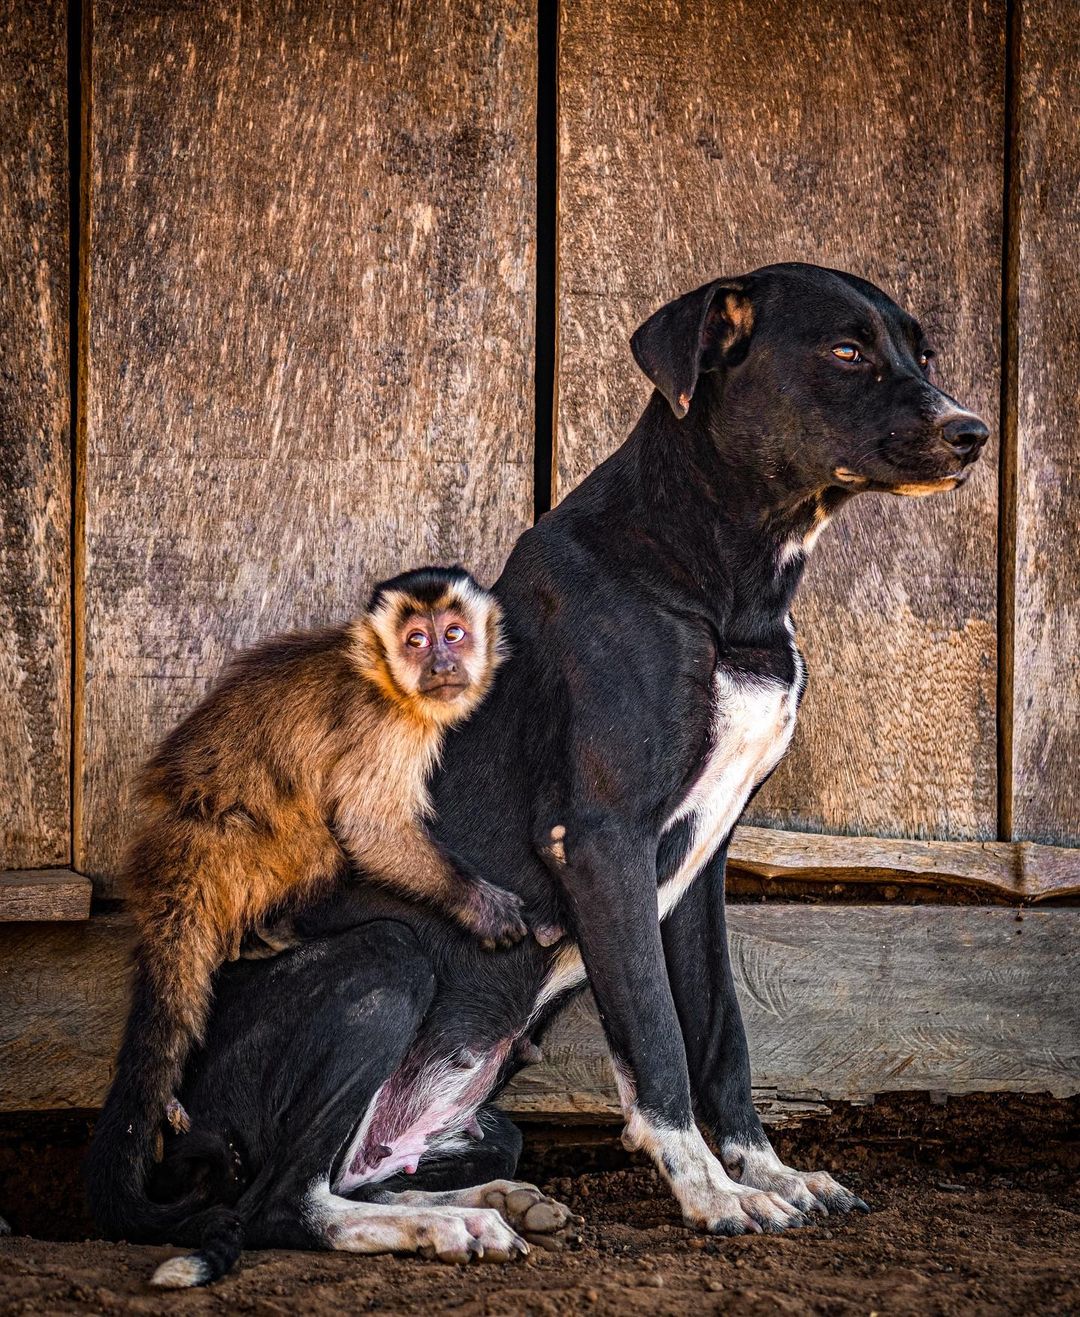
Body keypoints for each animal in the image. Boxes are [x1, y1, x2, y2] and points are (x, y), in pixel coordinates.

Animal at [90, 561, 529, 1216]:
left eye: (454, 633)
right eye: (416, 640)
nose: (441, 663)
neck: (387, 684)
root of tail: (176, 842)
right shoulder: (383, 726)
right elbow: (369, 828)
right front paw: (478, 906)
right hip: (235, 853)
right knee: (321, 841)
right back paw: (265, 936)